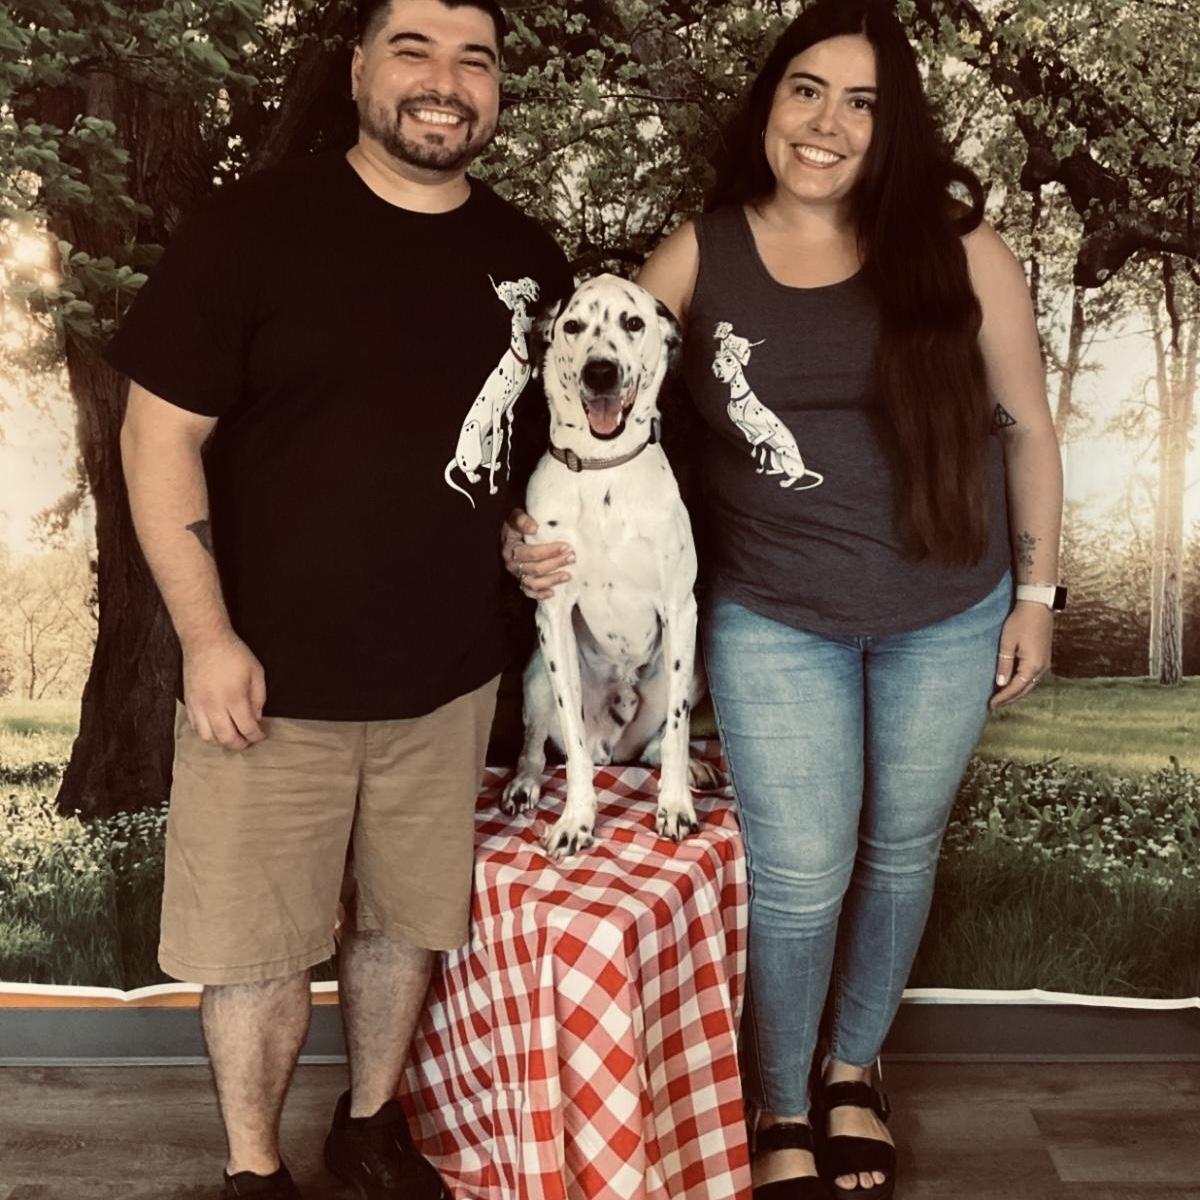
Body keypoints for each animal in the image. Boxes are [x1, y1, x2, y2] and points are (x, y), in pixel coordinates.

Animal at [500, 274, 706, 860]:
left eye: (633, 323)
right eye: (572, 325)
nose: (600, 371)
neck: (601, 470)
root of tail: (615, 745)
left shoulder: (681, 609)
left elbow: (679, 731)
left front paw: (675, 806)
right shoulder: (552, 615)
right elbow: (568, 741)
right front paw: (577, 818)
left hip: (695, 670)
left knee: (661, 744)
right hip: (532, 672)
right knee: (536, 747)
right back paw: (524, 784)